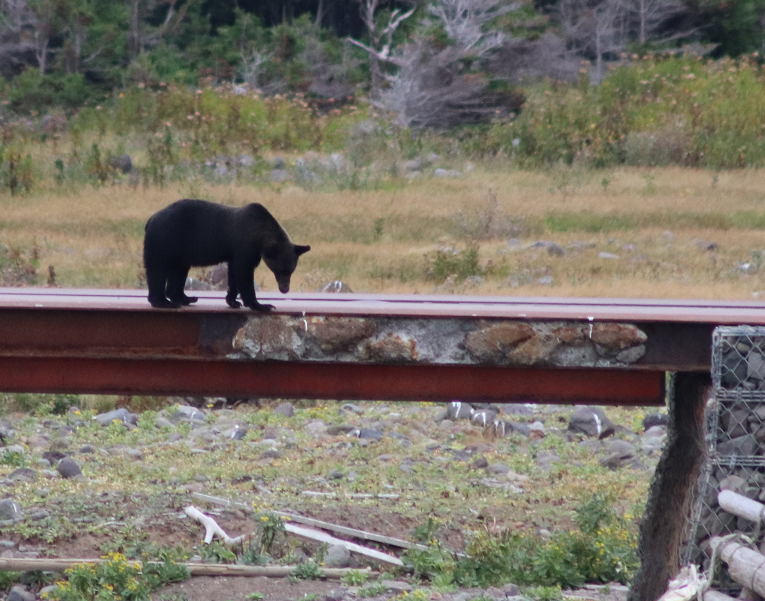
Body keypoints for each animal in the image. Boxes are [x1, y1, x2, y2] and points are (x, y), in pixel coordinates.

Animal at [143, 199, 310, 312]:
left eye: (291, 270)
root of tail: (151, 219)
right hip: (165, 239)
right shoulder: (245, 245)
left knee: (179, 271)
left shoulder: (237, 252)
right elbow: (244, 272)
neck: (259, 233)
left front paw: (233, 301)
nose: (285, 289)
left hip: (180, 251)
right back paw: (163, 302)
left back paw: (186, 298)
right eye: (281, 271)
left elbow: (234, 273)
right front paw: (262, 305)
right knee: (157, 269)